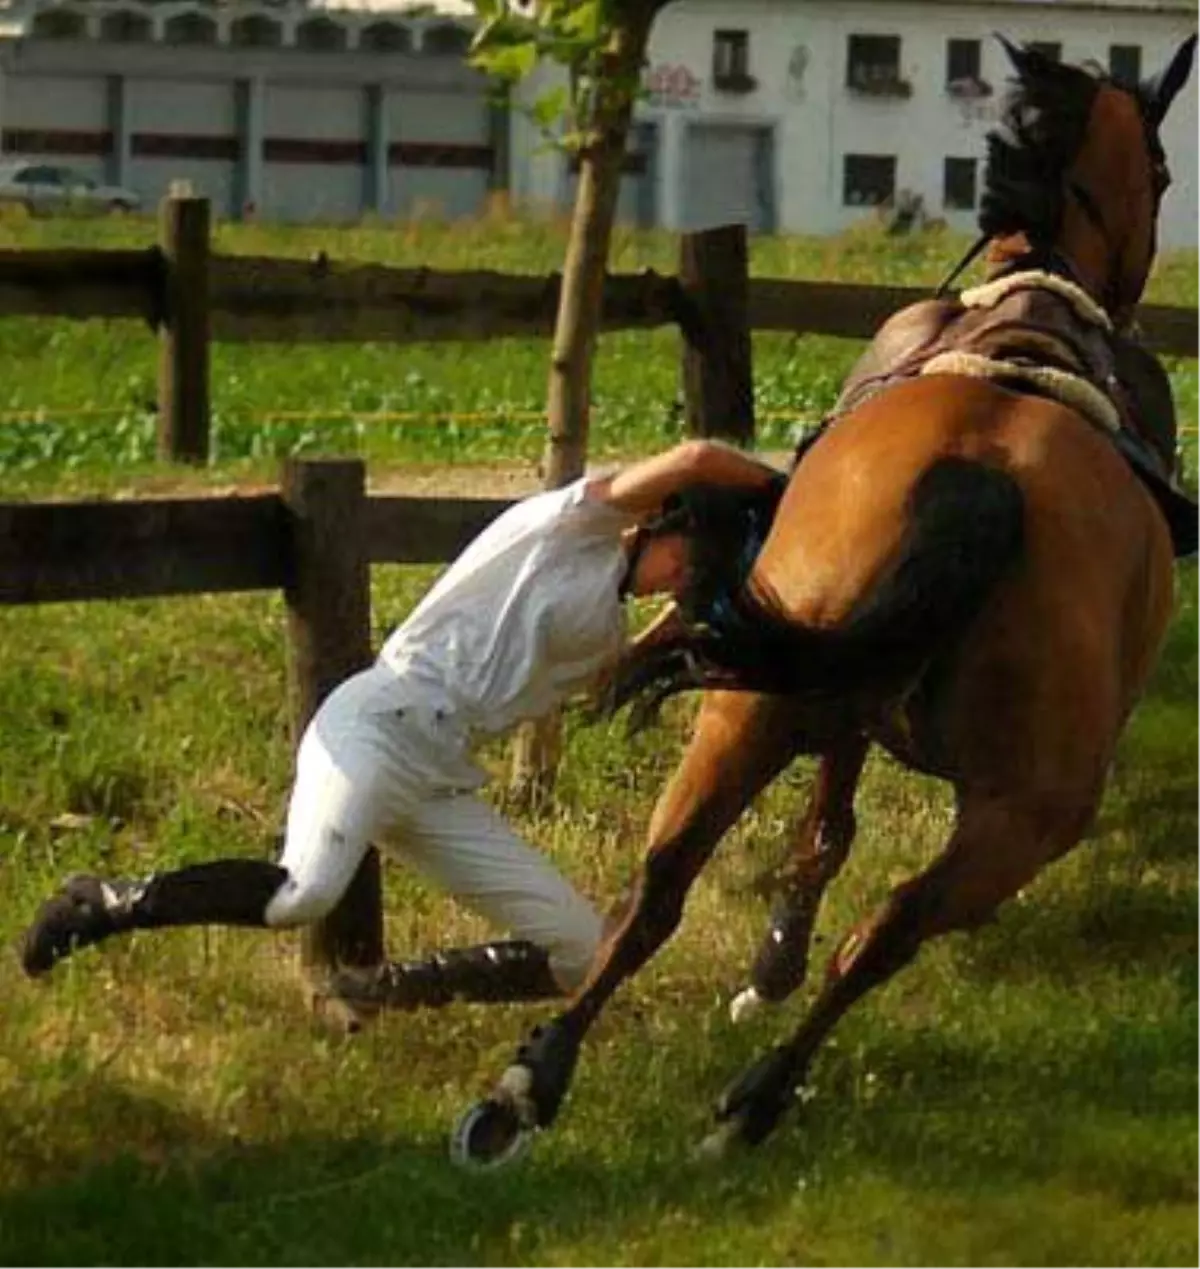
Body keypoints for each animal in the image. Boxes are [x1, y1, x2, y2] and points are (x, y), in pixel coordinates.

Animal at [454, 37, 1192, 1167]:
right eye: (1158, 171)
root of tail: (983, 471)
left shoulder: (831, 689)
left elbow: (819, 834)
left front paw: (768, 961)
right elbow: (829, 834)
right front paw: (771, 965)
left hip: (756, 715)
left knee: (666, 888)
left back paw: (532, 1081)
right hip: (1028, 807)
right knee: (882, 932)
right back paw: (754, 1097)